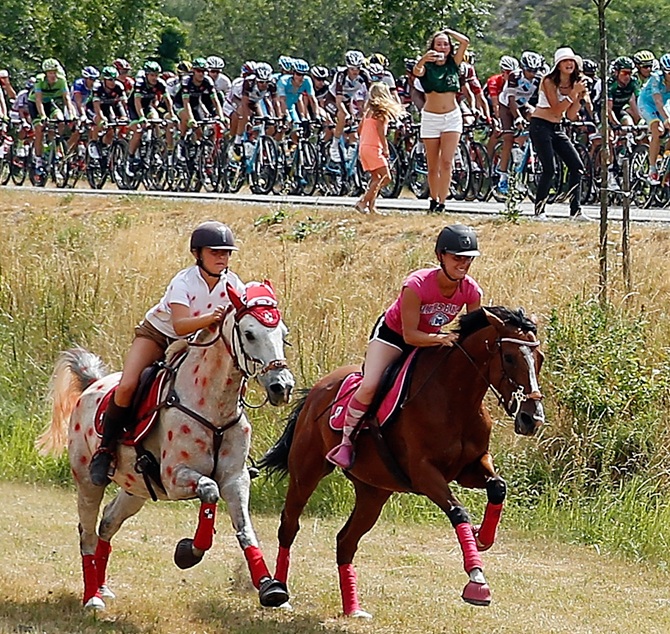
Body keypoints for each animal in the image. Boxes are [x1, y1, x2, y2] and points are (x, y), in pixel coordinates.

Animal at [36, 280, 294, 608]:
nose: (281, 387)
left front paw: (270, 589)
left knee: (107, 522)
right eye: (249, 333)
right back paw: (92, 597)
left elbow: (246, 530)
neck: (215, 405)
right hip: (87, 482)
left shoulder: (236, 480)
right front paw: (189, 552)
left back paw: (103, 586)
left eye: (283, 335)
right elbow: (209, 490)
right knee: (87, 532)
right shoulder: (175, 478)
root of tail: (92, 385)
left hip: (136, 489)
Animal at [262, 304, 544, 616]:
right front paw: (477, 582)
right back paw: (278, 592)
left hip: (373, 491)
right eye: (509, 357)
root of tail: (316, 390)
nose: (532, 418)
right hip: (307, 471)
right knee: (289, 525)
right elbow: (458, 512)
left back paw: (353, 609)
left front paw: (482, 537)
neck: (455, 398)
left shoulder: (470, 466)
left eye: (539, 359)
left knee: (346, 541)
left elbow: (498, 487)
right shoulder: (424, 474)